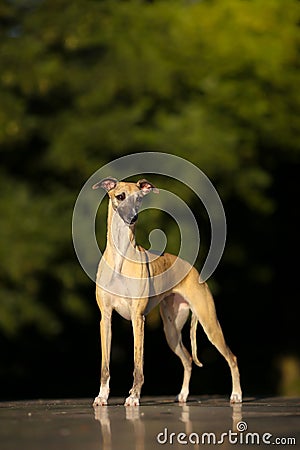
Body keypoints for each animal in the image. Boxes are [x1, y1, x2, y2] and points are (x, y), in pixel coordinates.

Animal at [91, 178, 241, 406]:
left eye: (139, 199)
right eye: (120, 196)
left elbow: (138, 365)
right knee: (188, 359)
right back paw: (183, 395)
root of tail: (193, 269)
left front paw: (133, 396)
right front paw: (102, 396)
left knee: (231, 358)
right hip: (171, 331)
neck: (121, 257)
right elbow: (105, 366)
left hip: (209, 323)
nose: (133, 218)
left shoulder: (138, 319)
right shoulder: (106, 318)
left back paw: (236, 395)